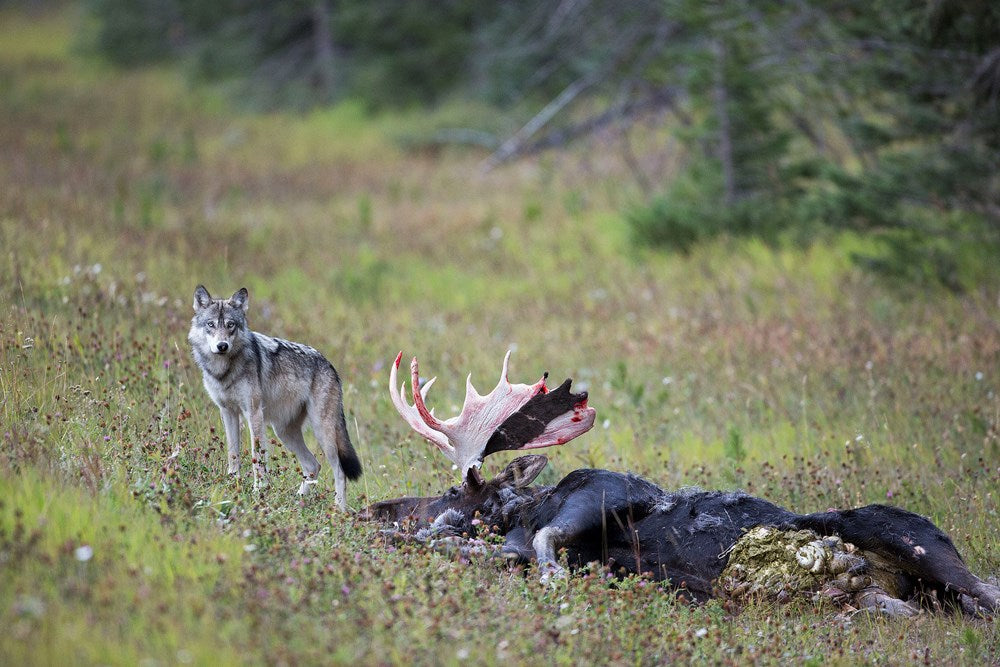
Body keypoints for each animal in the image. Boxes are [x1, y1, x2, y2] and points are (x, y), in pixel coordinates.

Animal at [188, 285, 361, 509]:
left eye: (230, 325)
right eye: (210, 324)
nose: (222, 346)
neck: (224, 371)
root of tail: (330, 365)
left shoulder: (253, 413)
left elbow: (257, 458)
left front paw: (258, 491)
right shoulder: (228, 412)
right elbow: (233, 454)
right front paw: (233, 486)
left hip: (322, 431)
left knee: (339, 470)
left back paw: (338, 509)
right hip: (284, 432)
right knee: (313, 465)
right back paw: (297, 502)